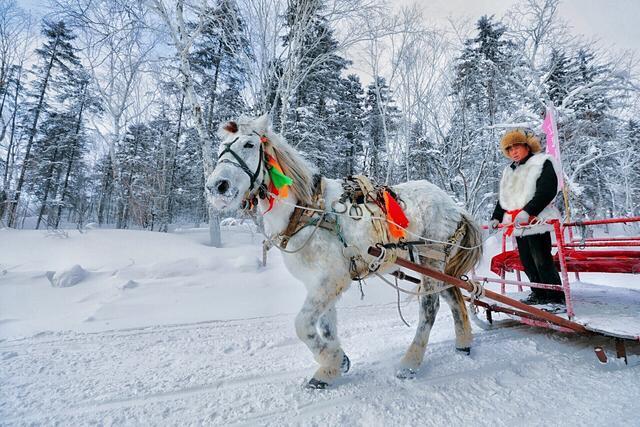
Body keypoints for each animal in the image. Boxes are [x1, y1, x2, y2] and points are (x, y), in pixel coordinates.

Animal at [208, 115, 482, 390]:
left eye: (249, 144)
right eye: (221, 148)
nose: (216, 186)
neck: (307, 211)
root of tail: (454, 205)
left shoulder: (332, 279)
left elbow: (302, 324)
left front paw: (331, 361)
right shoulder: (320, 283)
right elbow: (325, 326)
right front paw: (333, 366)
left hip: (430, 259)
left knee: (430, 307)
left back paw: (410, 362)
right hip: (438, 266)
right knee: (454, 296)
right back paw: (463, 343)